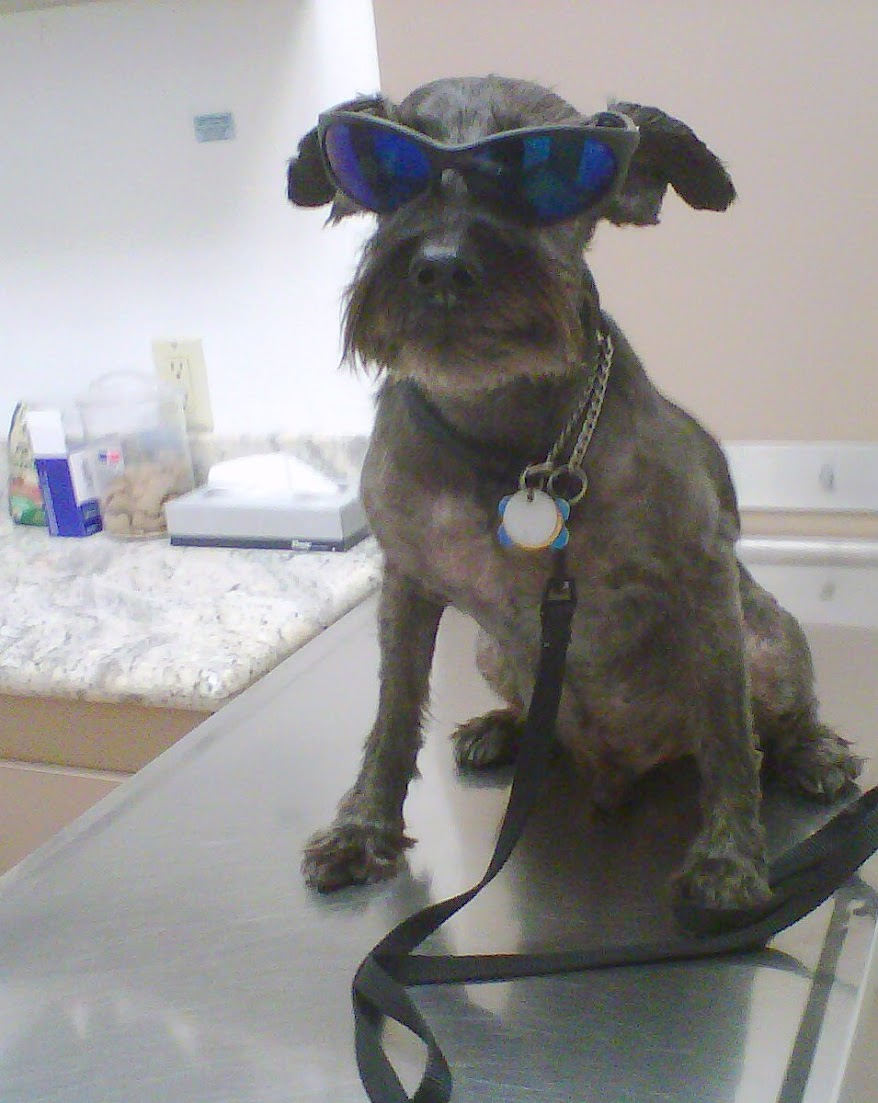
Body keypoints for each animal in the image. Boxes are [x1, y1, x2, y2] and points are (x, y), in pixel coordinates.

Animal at [286, 75, 861, 919]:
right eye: (388, 165)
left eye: (545, 170)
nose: (442, 265)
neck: (507, 447)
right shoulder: (406, 585)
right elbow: (393, 714)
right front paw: (363, 831)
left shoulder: (703, 579)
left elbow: (728, 729)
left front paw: (728, 860)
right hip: (492, 650)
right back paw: (503, 726)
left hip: (771, 638)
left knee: (773, 715)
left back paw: (812, 751)